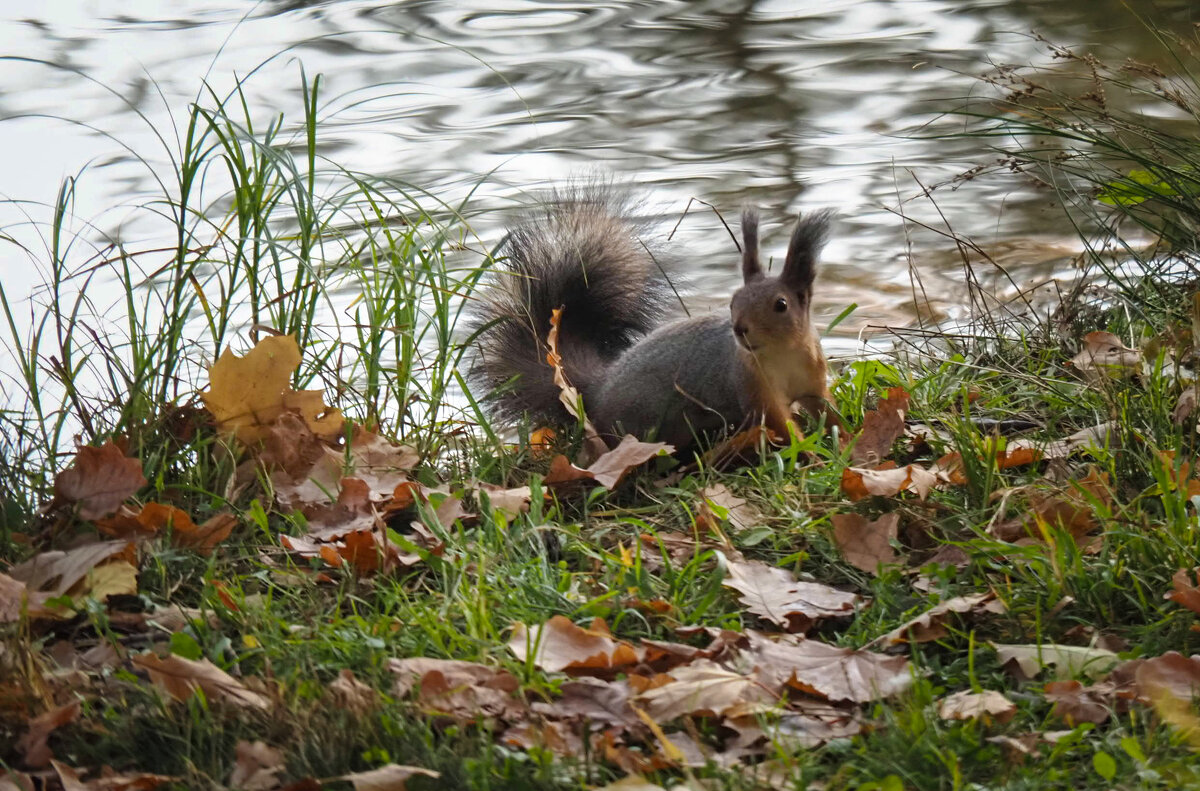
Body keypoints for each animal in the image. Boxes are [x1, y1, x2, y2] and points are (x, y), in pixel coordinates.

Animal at [465, 190, 835, 451]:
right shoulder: (752, 388)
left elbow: (824, 409)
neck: (782, 353)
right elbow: (779, 424)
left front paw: (840, 435)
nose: (740, 329)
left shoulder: (813, 381)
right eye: (733, 302)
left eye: (781, 305)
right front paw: (809, 451)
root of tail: (597, 392)